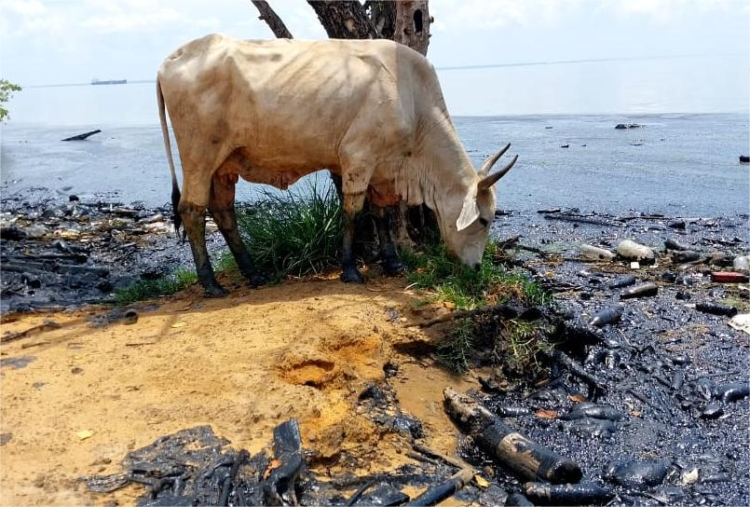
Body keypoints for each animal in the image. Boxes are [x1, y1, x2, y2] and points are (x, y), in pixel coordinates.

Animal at [155, 34, 516, 298]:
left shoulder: (381, 168)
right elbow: (353, 212)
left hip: (225, 164)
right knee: (192, 210)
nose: (477, 268)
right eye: (484, 220)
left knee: (223, 211)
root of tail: (170, 60)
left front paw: (392, 262)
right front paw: (350, 270)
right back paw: (211, 284)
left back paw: (254, 274)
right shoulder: (358, 157)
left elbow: (381, 212)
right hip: (200, 156)